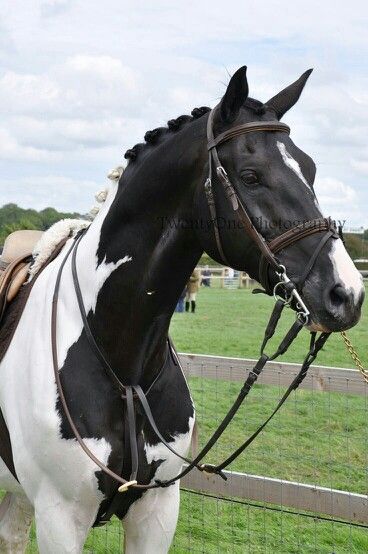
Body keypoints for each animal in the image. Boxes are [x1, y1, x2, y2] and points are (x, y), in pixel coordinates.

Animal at [0, 67, 364, 548]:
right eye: (250, 176)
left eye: (311, 169)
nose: (347, 293)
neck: (124, 366)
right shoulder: (60, 518)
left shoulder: (156, 511)